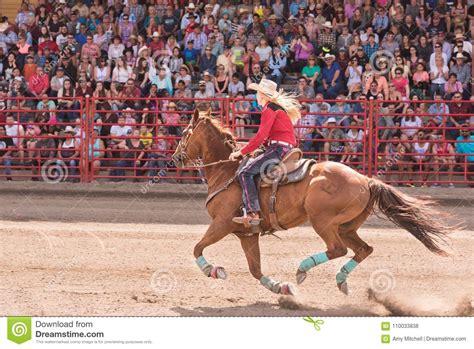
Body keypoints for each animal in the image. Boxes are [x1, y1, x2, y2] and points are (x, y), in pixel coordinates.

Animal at [172, 110, 454, 294]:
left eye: (185, 133)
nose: (175, 158)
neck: (228, 171)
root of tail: (365, 180)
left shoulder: (222, 224)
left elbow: (197, 248)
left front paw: (213, 270)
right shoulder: (247, 234)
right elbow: (255, 269)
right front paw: (280, 287)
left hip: (322, 221)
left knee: (338, 249)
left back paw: (302, 268)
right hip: (346, 226)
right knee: (364, 249)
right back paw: (340, 279)